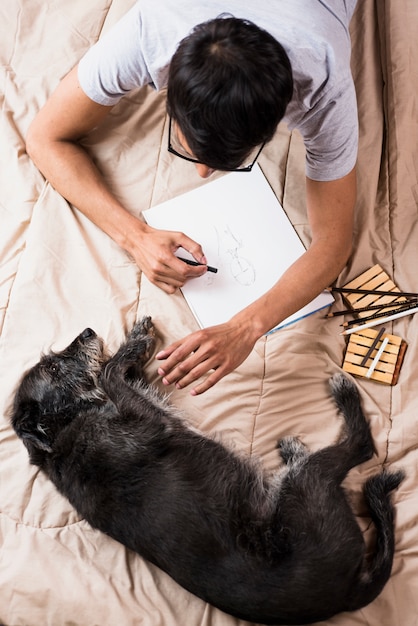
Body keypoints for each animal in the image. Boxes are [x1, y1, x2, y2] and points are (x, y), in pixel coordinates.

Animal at [9, 320, 404, 620]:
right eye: (54, 369)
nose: (88, 331)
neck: (64, 430)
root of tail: (348, 594)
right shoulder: (154, 422)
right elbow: (108, 374)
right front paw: (134, 343)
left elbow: (127, 376)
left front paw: (137, 345)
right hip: (308, 488)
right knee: (360, 447)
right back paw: (344, 395)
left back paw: (294, 450)